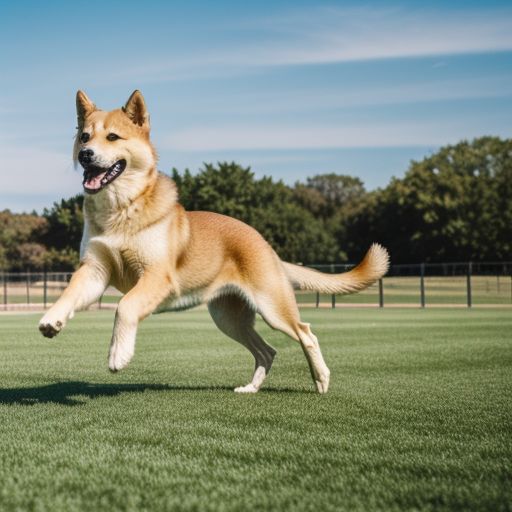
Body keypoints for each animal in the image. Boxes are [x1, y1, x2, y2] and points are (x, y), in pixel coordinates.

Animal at [39, 91, 388, 392]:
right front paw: (51, 319)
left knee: (306, 334)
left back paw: (321, 379)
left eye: (112, 137)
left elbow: (124, 307)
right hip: (229, 318)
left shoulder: (156, 276)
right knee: (267, 351)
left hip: (273, 307)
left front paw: (118, 355)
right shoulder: (95, 270)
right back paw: (251, 388)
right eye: (85, 136)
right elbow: (70, 293)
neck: (120, 210)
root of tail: (264, 243)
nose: (85, 155)